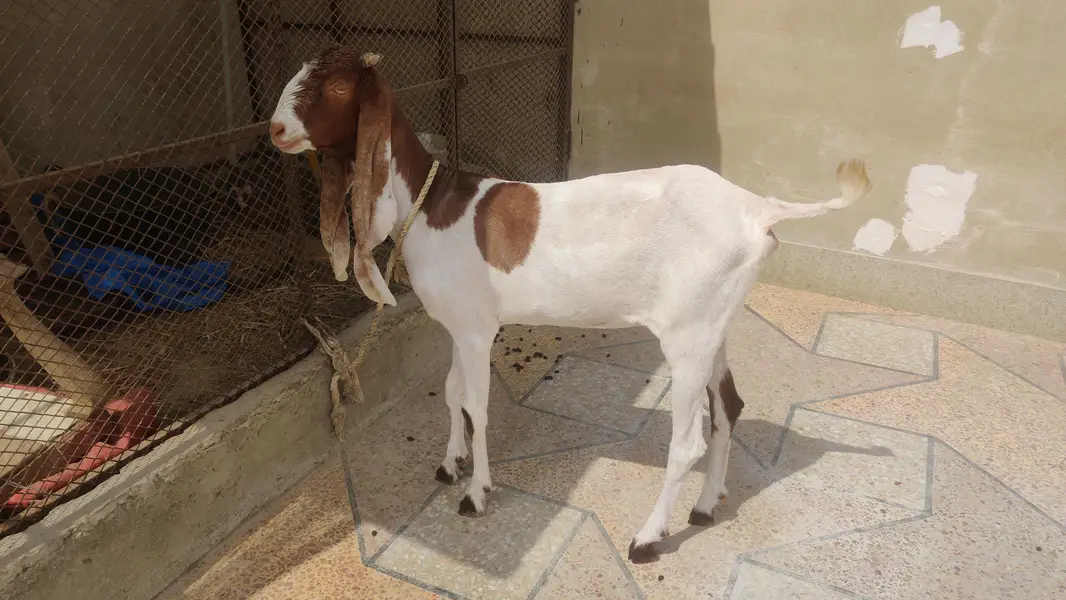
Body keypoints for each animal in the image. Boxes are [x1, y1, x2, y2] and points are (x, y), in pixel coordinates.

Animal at [268, 45, 872, 563]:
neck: (432, 203)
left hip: (687, 335)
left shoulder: (477, 330)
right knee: (728, 406)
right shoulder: (458, 326)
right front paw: (449, 463)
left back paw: (648, 537)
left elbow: (478, 405)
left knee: (687, 441)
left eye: (338, 86)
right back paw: (703, 507)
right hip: (713, 323)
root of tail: (756, 209)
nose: (275, 129)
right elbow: (453, 392)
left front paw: (477, 493)